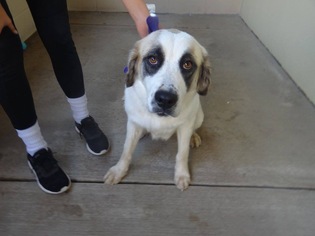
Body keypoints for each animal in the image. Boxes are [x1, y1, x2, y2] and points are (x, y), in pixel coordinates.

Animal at [104, 29, 212, 190]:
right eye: (153, 59)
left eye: (187, 64)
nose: (165, 99)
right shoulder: (133, 123)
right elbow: (127, 149)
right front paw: (119, 170)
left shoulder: (185, 127)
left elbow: (182, 153)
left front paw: (181, 175)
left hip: (199, 116)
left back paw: (193, 136)